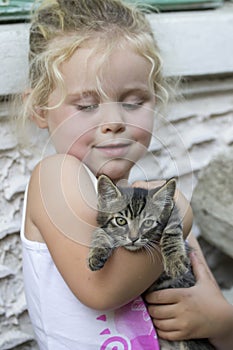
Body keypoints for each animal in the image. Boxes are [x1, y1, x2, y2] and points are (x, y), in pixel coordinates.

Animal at [88, 175, 215, 350]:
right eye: (121, 221)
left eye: (147, 223)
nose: (133, 238)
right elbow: (100, 231)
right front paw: (98, 251)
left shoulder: (173, 211)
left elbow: (172, 229)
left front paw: (174, 260)